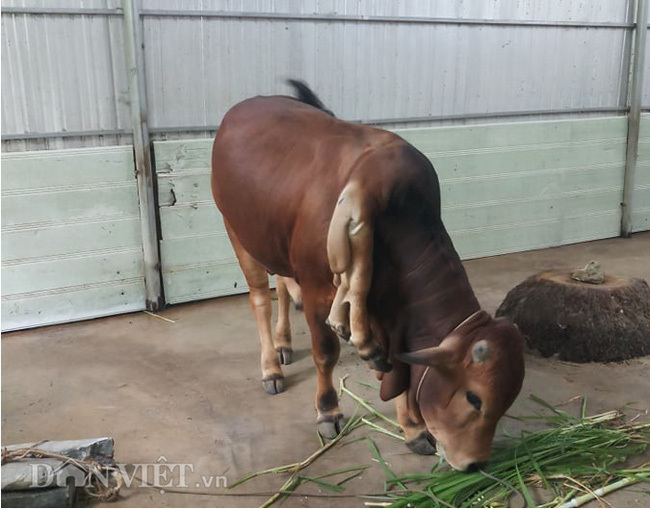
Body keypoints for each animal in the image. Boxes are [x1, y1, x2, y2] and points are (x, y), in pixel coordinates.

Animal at [210, 81, 524, 470]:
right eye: (475, 398)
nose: (476, 464)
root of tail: (244, 107)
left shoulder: (390, 313)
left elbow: (396, 365)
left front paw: (413, 429)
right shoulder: (317, 291)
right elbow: (326, 353)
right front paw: (328, 411)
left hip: (274, 241)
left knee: (282, 286)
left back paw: (284, 343)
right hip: (237, 234)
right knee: (259, 300)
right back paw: (271, 366)